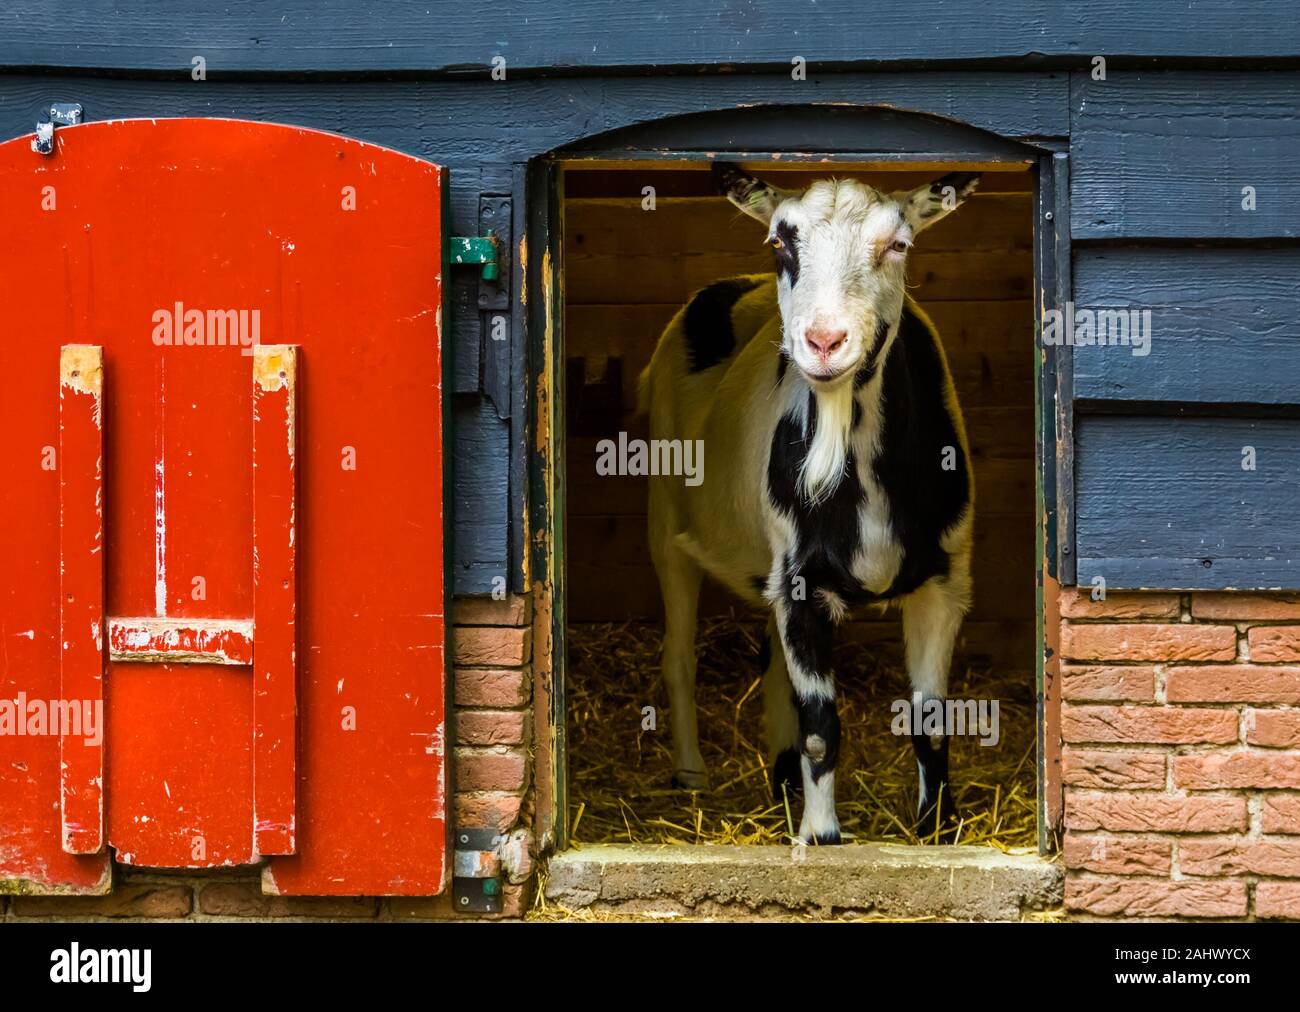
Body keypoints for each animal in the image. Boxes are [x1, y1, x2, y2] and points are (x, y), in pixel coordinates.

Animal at [638, 163, 979, 844]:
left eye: (898, 244)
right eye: (780, 243)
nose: (823, 341)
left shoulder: (944, 578)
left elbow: (931, 724)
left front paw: (936, 833)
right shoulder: (799, 579)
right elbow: (822, 728)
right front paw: (821, 840)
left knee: (773, 665)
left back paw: (781, 779)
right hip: (666, 521)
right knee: (679, 656)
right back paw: (692, 774)